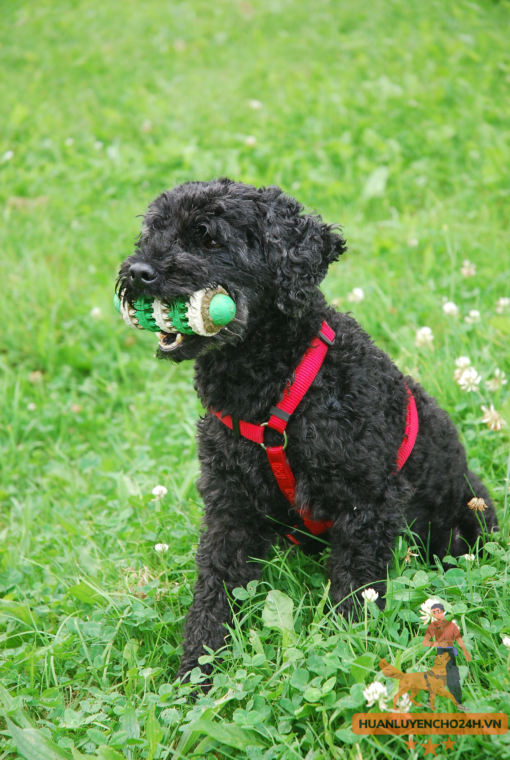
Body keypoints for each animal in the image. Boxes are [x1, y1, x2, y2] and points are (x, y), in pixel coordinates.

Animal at [116, 180, 498, 684]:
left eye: (209, 238)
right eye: (152, 232)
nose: (139, 272)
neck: (269, 386)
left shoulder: (367, 503)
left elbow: (355, 593)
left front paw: (347, 655)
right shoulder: (230, 506)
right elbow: (214, 592)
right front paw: (195, 677)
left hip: (471, 516)